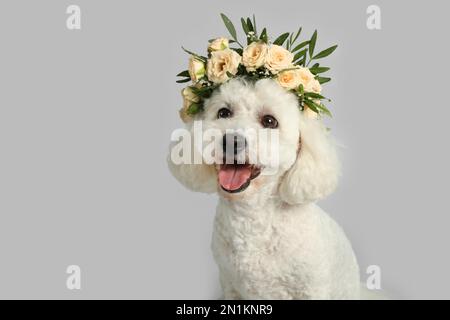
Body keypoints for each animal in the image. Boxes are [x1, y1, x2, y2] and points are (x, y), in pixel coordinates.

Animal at [167, 77, 360, 300]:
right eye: (224, 112)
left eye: (269, 121)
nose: (232, 141)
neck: (252, 217)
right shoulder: (230, 285)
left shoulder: (312, 289)